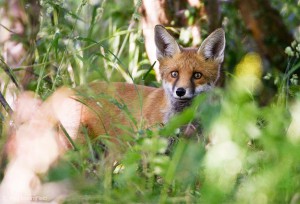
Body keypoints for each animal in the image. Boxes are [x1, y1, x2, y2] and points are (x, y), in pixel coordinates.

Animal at [0, 24, 225, 202]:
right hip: (75, 149)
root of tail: (66, 90)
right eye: (174, 74)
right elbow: (150, 186)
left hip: (99, 156)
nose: (180, 91)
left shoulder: (186, 155)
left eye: (197, 75)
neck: (179, 122)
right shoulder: (148, 151)